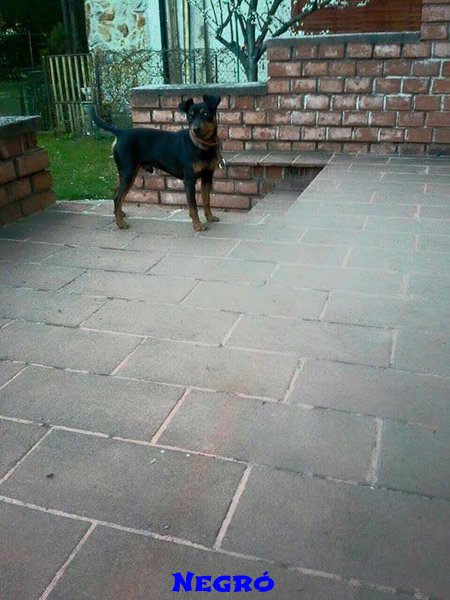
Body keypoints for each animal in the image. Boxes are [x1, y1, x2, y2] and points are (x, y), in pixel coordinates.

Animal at [91, 95, 222, 231]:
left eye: (205, 114)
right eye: (190, 117)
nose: (195, 129)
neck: (200, 145)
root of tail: (121, 133)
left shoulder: (207, 177)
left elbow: (206, 200)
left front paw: (210, 217)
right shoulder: (189, 180)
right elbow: (193, 206)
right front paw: (197, 225)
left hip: (129, 174)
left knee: (118, 195)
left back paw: (119, 214)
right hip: (127, 172)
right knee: (117, 197)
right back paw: (120, 223)